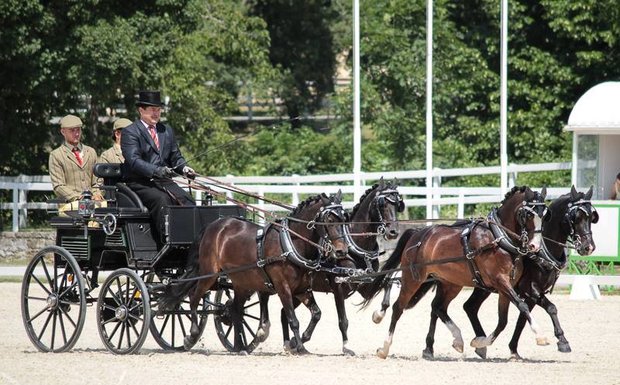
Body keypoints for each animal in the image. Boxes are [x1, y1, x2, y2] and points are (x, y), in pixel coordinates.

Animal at [157, 190, 352, 352]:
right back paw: (192, 335)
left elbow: (316, 314)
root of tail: (214, 225)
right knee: (194, 297)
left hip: (241, 283)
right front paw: (300, 347)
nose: (342, 251)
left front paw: (299, 342)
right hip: (209, 274)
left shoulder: (302, 289)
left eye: (345, 219)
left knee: (235, 310)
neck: (290, 243)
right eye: (329, 220)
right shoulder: (283, 288)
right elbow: (293, 319)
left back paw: (240, 347)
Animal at [278, 177, 404, 354]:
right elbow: (343, 320)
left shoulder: (364, 282)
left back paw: (290, 343)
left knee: (284, 312)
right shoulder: (337, 286)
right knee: (286, 312)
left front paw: (378, 315)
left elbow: (387, 284)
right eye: (382, 204)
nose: (393, 232)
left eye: (398, 204)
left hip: (298, 289)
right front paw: (346, 347)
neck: (355, 245)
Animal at [358, 184, 548, 358]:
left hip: (451, 283)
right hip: (413, 279)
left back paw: (457, 340)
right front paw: (540, 335)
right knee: (398, 307)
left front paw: (479, 342)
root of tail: (418, 233)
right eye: (528, 214)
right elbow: (522, 305)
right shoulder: (500, 281)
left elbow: (503, 321)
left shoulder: (505, 287)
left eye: (544, 215)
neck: (498, 238)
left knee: (439, 307)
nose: (535, 246)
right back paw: (384, 348)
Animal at [462, 184, 600, 358]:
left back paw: (480, 344)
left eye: (591, 217)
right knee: (469, 306)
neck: (543, 252)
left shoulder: (532, 296)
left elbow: (522, 321)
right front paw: (562, 341)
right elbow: (551, 308)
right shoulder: (530, 290)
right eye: (575, 217)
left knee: (470, 307)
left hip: (485, 286)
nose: (588, 247)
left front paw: (513, 349)